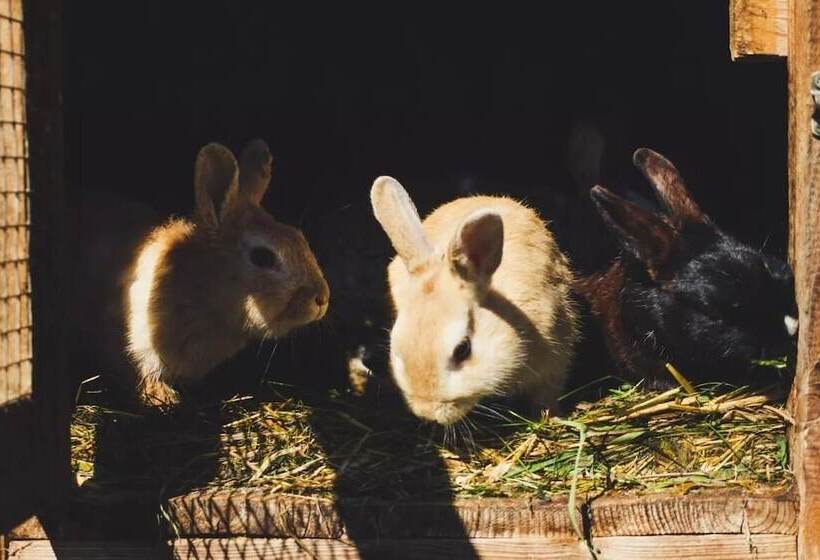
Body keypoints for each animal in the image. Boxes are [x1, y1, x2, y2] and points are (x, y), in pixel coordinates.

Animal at [372, 175, 576, 424]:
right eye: (396, 344)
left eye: (463, 350)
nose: (427, 411)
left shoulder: (554, 359)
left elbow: (547, 394)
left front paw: (550, 416)